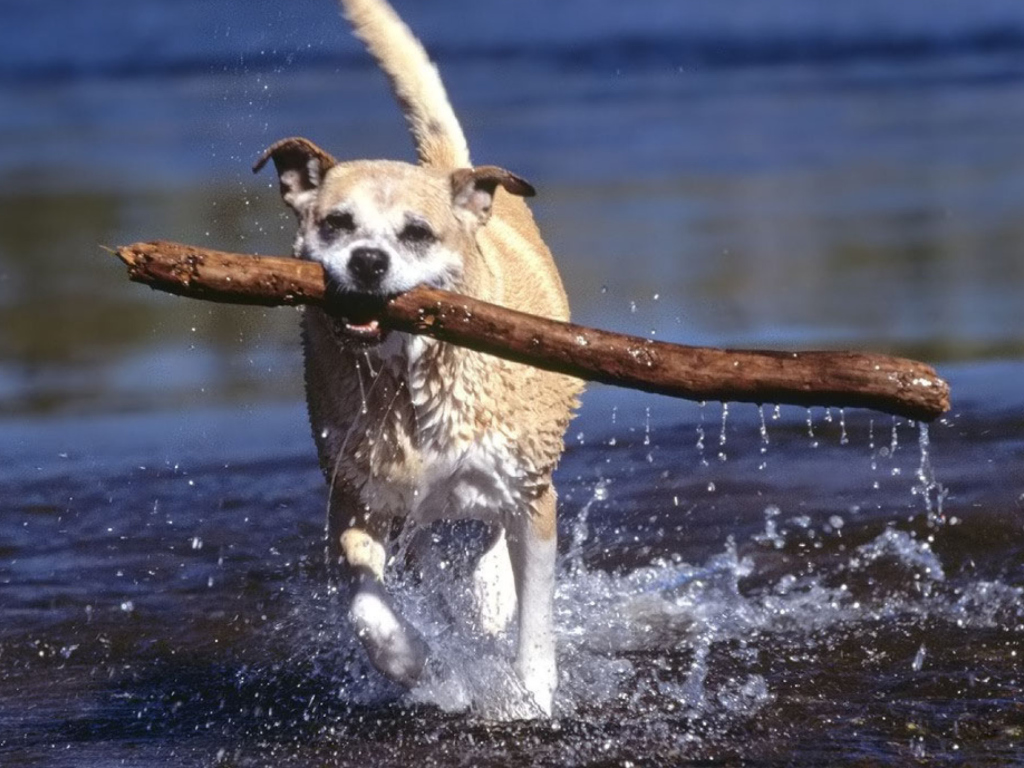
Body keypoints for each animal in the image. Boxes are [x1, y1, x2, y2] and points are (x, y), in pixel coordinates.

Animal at [252, 0, 581, 716]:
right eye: (336, 224)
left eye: (417, 233)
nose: (368, 263)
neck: (409, 375)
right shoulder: (356, 497)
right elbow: (366, 603)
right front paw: (417, 663)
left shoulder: (533, 498)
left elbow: (536, 614)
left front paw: (531, 694)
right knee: (430, 552)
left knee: (489, 544)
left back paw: (490, 596)